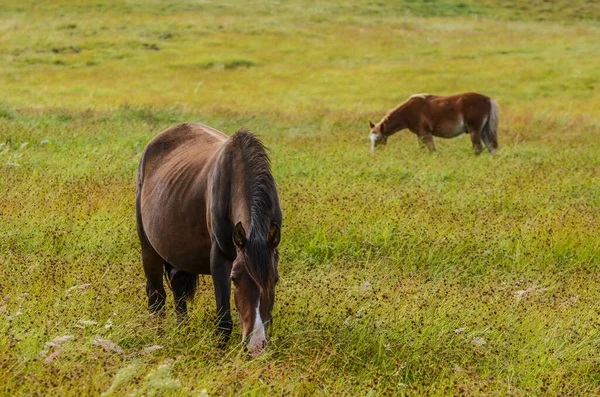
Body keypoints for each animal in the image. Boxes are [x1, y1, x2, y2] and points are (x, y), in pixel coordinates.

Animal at [137, 122, 282, 354]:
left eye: (275, 279)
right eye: (234, 279)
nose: (255, 346)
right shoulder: (220, 259)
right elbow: (224, 320)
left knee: (177, 285)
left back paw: (183, 330)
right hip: (149, 249)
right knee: (156, 296)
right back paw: (157, 337)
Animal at [368, 92, 500, 154]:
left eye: (379, 139)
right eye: (371, 139)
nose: (374, 154)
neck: (408, 111)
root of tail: (487, 99)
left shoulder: (426, 133)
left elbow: (432, 150)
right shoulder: (419, 135)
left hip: (474, 131)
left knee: (478, 148)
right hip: (483, 131)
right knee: (491, 148)